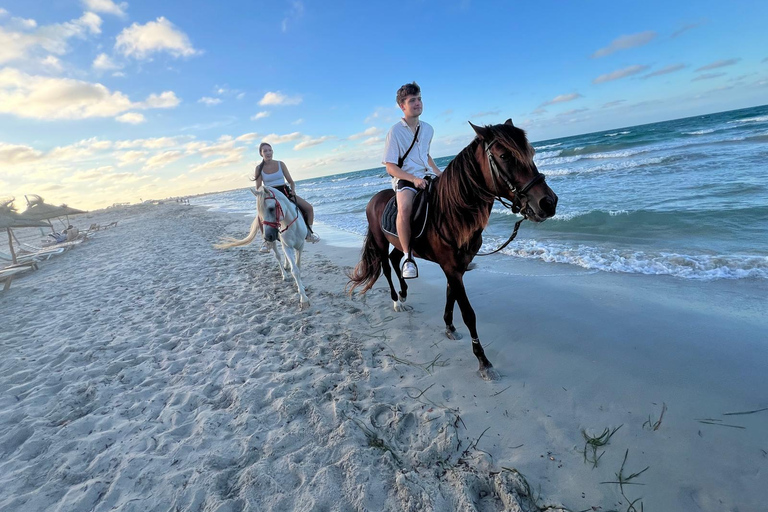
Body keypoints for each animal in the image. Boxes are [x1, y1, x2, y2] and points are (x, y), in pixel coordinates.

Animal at [348, 118, 560, 378]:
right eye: (504, 155)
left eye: (531, 152)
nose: (548, 203)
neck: (451, 213)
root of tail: (374, 198)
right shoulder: (450, 267)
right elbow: (468, 313)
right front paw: (483, 361)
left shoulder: (456, 267)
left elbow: (451, 296)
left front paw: (449, 327)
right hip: (380, 240)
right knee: (386, 266)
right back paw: (397, 301)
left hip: (399, 242)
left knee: (397, 258)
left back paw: (404, 292)